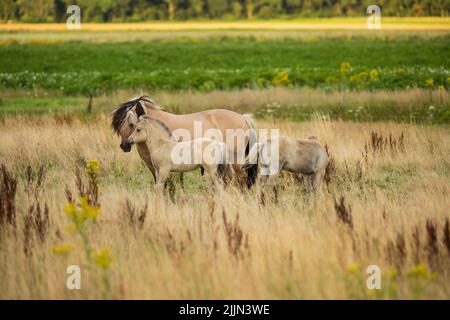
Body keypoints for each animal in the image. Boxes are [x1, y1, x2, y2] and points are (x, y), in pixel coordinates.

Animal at [111, 95, 256, 188]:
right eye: (119, 126)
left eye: (132, 124)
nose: (124, 145)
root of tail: (243, 118)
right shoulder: (152, 166)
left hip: (236, 159)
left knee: (241, 179)